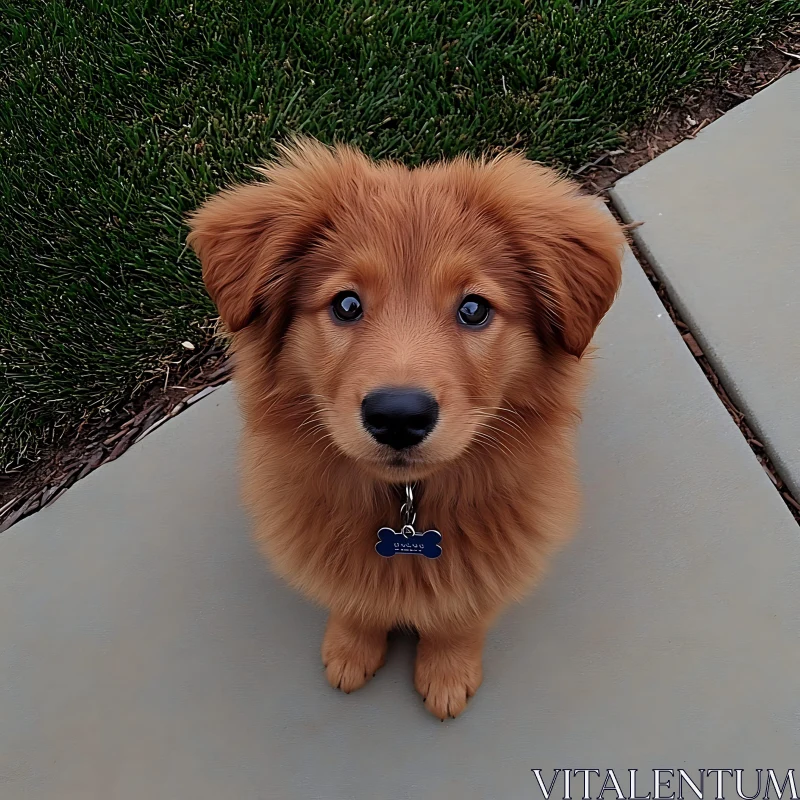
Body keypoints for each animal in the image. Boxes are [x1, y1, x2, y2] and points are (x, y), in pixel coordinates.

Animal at [189, 141, 624, 720]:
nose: (398, 416)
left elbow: (461, 613)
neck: (406, 503)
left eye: (474, 308)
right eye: (347, 304)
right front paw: (350, 647)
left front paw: (447, 672)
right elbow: (354, 598)